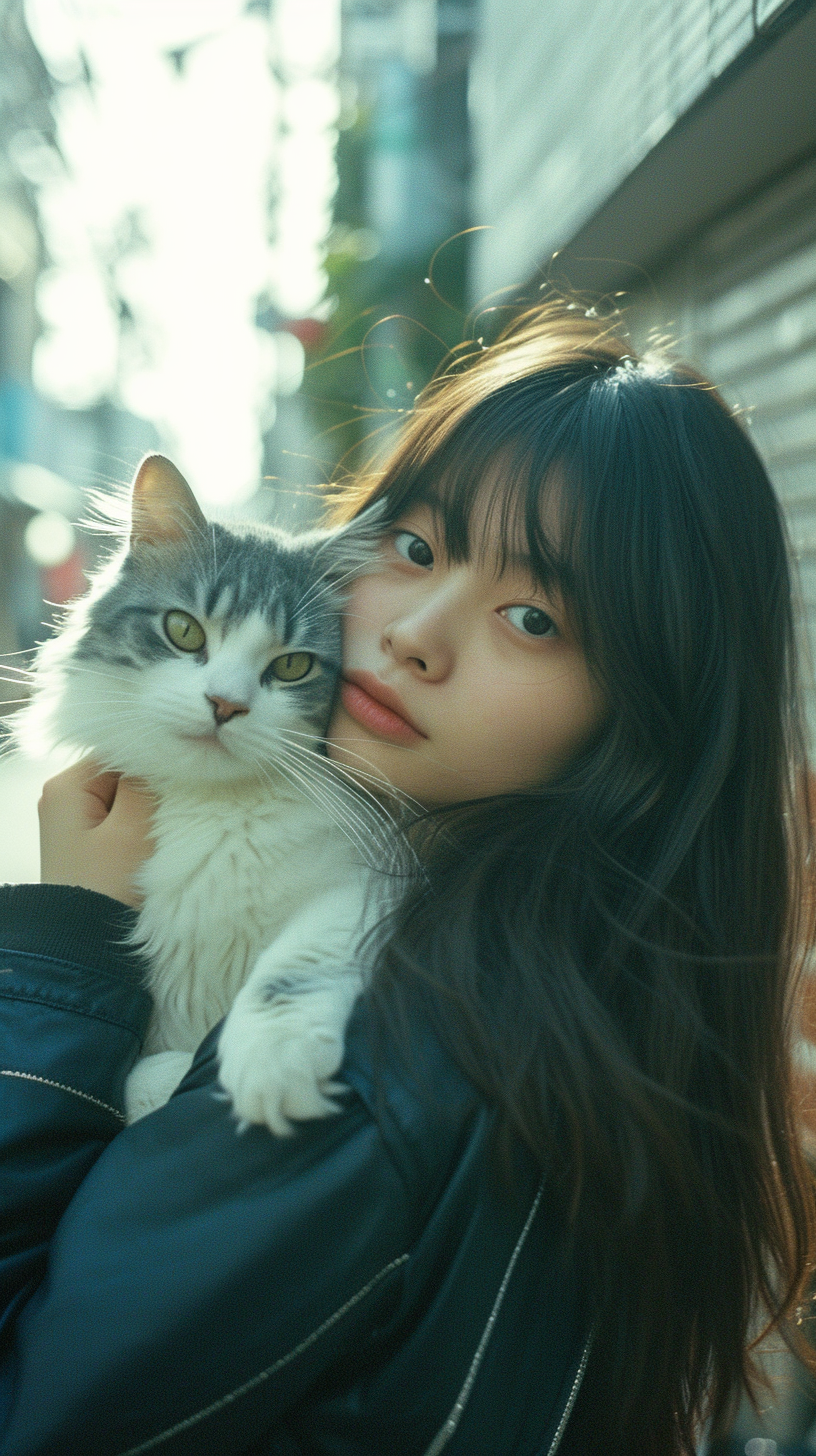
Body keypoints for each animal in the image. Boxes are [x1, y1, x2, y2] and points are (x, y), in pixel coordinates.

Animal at [17, 451, 399, 1124]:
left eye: (292, 666)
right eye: (184, 631)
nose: (225, 705)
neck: (213, 811)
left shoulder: (373, 883)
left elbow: (296, 965)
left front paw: (274, 1066)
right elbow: (143, 1077)